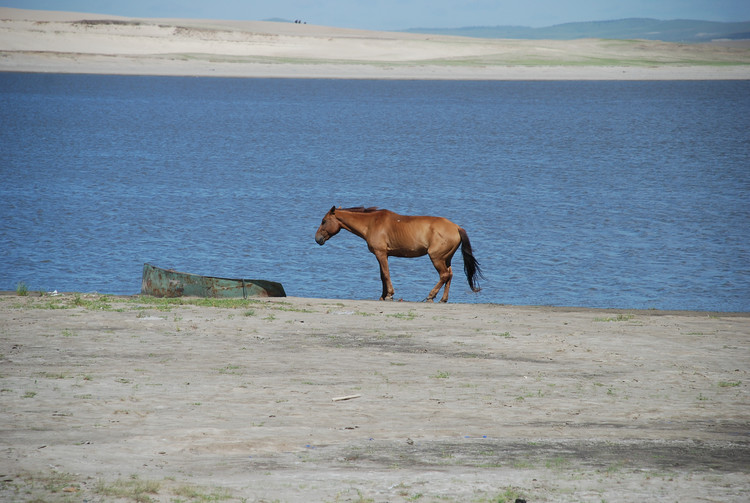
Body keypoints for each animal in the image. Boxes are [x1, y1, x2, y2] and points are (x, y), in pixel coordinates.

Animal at [316, 206, 482, 304]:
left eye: (324, 221)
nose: (317, 239)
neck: (372, 223)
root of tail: (456, 227)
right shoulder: (383, 255)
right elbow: (382, 275)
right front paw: (383, 295)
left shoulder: (381, 254)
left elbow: (386, 274)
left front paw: (389, 294)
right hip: (446, 258)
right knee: (450, 275)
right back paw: (443, 299)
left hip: (436, 258)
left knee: (444, 275)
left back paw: (431, 296)